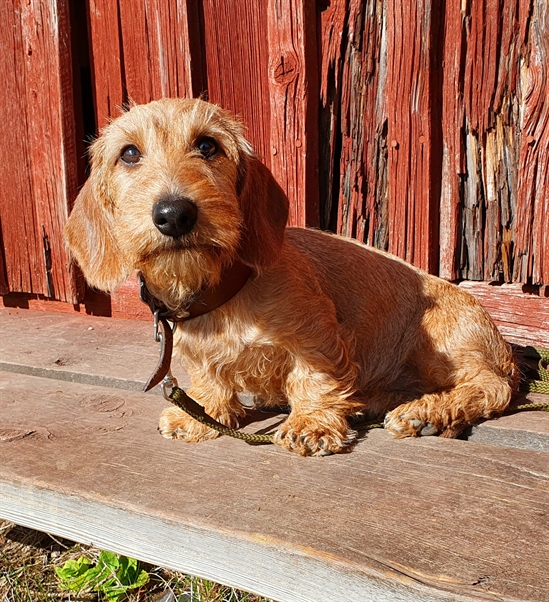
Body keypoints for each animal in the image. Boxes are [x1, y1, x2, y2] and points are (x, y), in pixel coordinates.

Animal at [65, 98, 520, 454]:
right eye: (128, 153)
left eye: (207, 145)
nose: (174, 214)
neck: (225, 290)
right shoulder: (202, 355)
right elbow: (210, 379)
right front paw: (200, 414)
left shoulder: (316, 335)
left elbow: (312, 377)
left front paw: (311, 424)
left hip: (439, 339)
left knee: (492, 387)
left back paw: (426, 411)